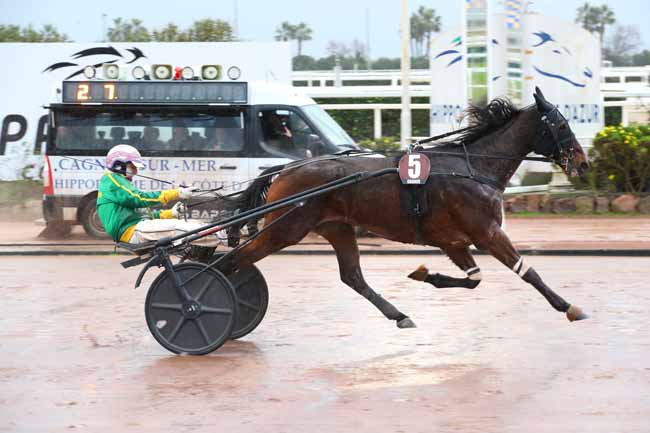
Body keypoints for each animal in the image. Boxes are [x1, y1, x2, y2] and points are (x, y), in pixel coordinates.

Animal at [218, 86, 588, 326]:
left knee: (352, 276)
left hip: (336, 227)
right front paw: (568, 306)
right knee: (231, 262)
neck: (473, 166)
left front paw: (426, 274)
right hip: (285, 228)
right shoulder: (487, 232)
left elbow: (473, 279)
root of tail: (287, 168)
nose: (582, 163)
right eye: (561, 124)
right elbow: (528, 272)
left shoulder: (453, 240)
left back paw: (399, 315)